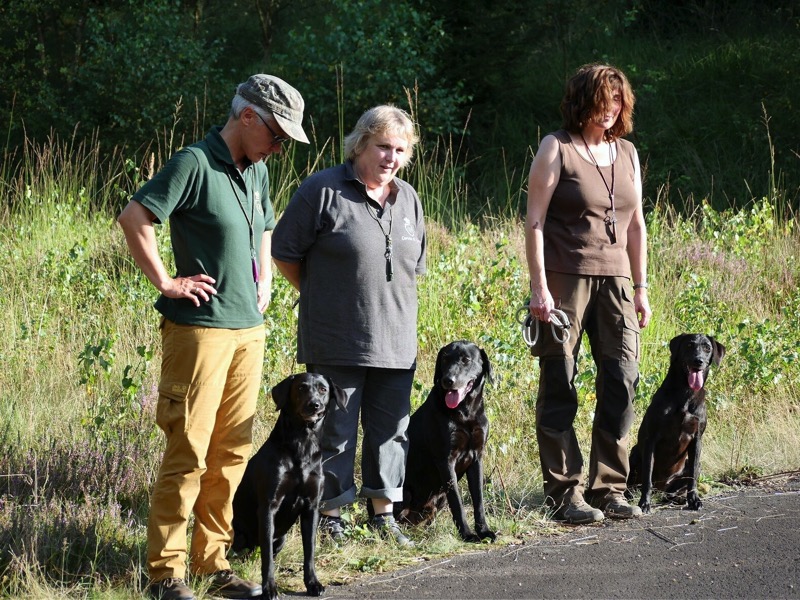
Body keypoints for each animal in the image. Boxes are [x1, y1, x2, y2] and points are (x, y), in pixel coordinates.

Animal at [232, 373, 346, 600]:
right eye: (301, 388)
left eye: (323, 389)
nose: (314, 404)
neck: (303, 442)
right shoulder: (268, 506)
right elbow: (267, 558)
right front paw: (269, 588)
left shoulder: (311, 507)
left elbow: (309, 551)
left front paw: (313, 583)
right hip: (238, 534)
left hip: (282, 537)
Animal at [397, 340, 496, 542]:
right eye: (444, 359)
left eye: (466, 360)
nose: (447, 380)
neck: (465, 412)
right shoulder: (446, 460)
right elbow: (457, 502)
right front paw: (467, 534)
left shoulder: (477, 458)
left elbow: (479, 501)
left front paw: (483, 531)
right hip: (405, 491)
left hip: (438, 499)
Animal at [628, 333, 725, 514]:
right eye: (689, 345)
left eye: (707, 348)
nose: (699, 361)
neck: (685, 393)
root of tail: (661, 489)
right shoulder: (651, 439)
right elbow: (647, 476)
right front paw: (644, 503)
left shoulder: (697, 439)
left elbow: (693, 476)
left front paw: (694, 500)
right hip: (635, 453)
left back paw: (679, 498)